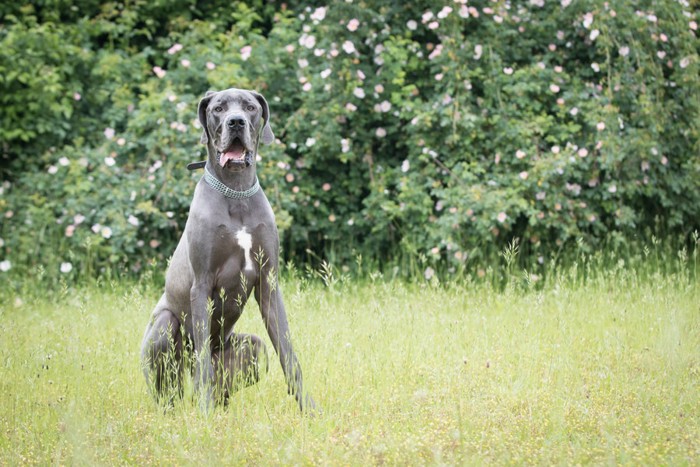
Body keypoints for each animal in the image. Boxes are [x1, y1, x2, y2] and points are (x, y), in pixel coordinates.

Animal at [141, 88, 316, 414]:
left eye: (250, 107)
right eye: (219, 108)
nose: (236, 122)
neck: (236, 192)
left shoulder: (268, 283)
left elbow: (288, 352)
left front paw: (309, 408)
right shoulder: (202, 284)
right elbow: (203, 365)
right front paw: (204, 414)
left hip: (253, 350)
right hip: (163, 328)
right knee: (176, 388)